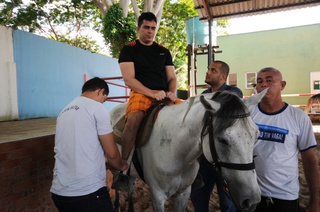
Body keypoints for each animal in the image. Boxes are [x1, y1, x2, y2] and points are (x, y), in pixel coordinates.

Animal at [109, 90, 266, 212]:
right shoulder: (157, 196)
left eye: (256, 135)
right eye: (222, 140)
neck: (175, 150)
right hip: (116, 167)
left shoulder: (183, 193)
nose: (252, 200)